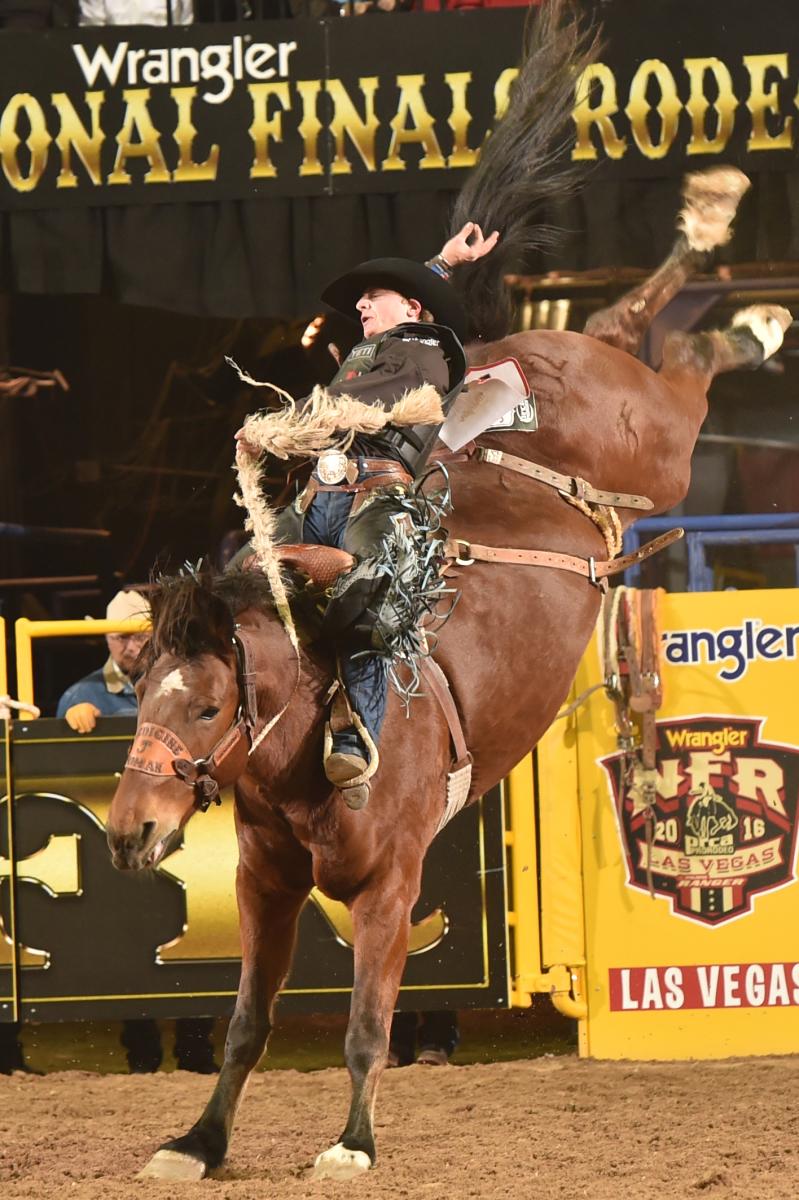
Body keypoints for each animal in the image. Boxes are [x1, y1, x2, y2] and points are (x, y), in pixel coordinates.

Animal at [102, 2, 787, 1180]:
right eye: (140, 694)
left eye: (207, 703)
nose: (129, 829)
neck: (308, 733)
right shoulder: (264, 884)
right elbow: (244, 1025)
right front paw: (196, 1142)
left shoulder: (391, 887)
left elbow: (366, 1024)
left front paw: (351, 1146)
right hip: (622, 407)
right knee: (635, 324)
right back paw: (716, 263)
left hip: (654, 445)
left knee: (683, 359)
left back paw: (740, 296)